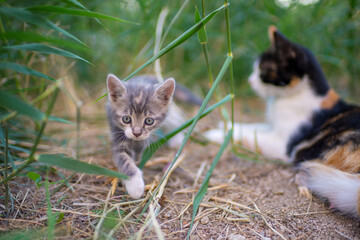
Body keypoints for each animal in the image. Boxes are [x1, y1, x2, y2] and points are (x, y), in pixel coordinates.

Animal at [205, 26, 360, 218]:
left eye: (262, 70)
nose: (250, 80)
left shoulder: (282, 144)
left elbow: (249, 138)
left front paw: (215, 134)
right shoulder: (273, 127)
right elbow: (252, 128)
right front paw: (226, 125)